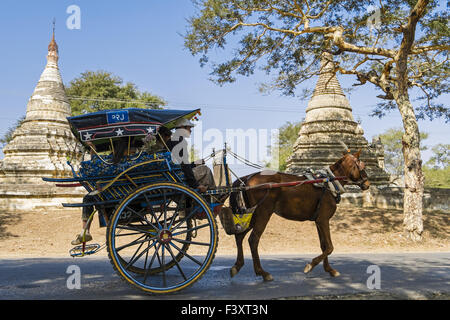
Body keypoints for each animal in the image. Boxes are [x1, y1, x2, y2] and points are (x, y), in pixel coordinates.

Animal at [229, 149, 370, 282]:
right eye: (362, 166)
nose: (367, 184)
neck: (328, 182)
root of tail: (247, 179)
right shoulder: (323, 220)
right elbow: (329, 247)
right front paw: (310, 265)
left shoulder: (318, 221)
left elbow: (324, 245)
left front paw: (329, 269)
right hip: (263, 213)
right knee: (253, 240)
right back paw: (262, 272)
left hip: (253, 215)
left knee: (240, 236)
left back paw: (237, 266)